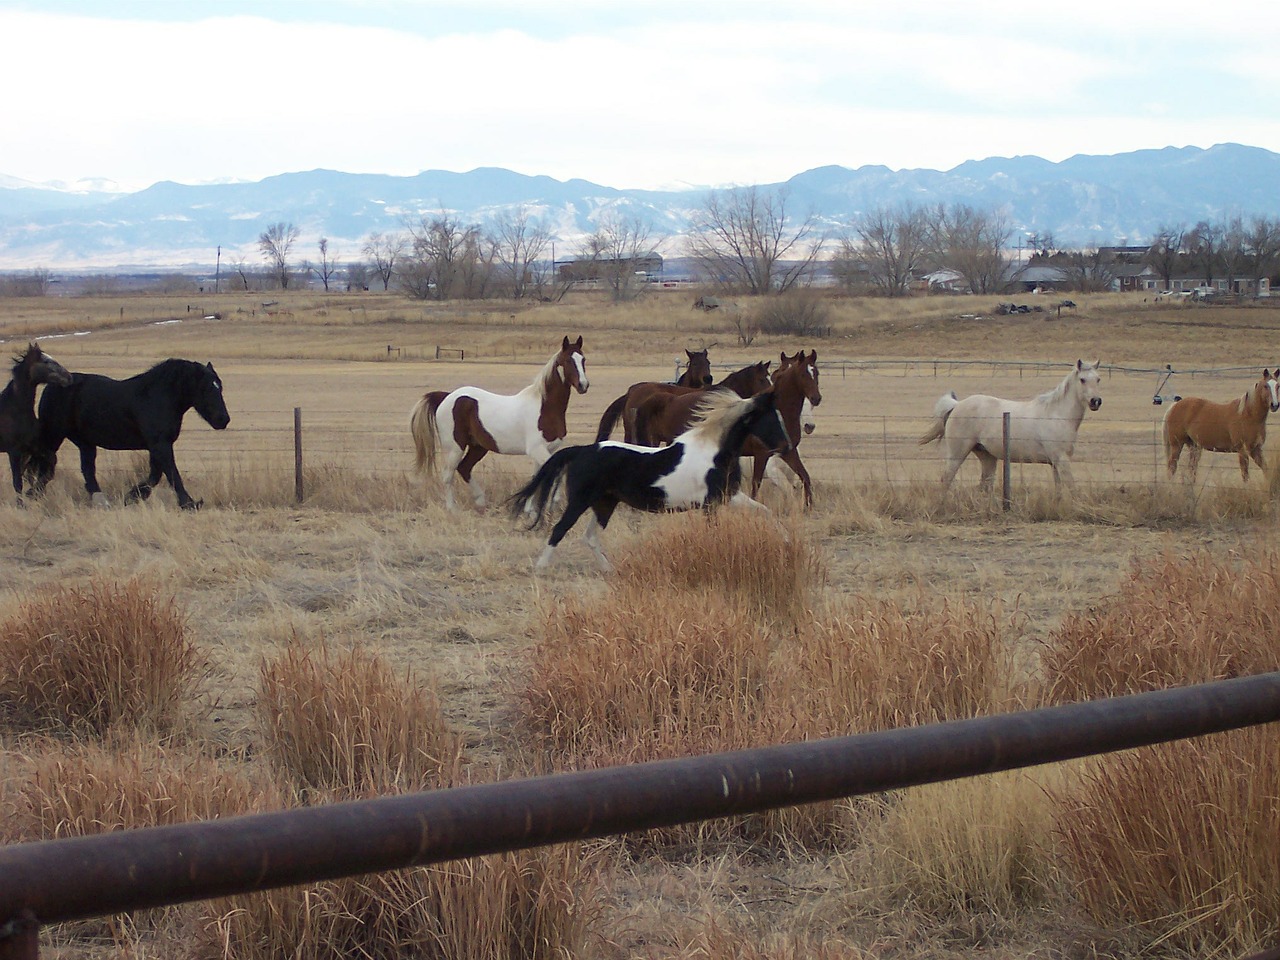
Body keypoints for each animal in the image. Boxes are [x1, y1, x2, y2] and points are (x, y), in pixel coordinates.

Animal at [0, 345, 72, 506]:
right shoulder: (14, 451)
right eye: (46, 361)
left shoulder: (33, 448)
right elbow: (17, 481)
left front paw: (35, 492)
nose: (68, 377)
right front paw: (21, 504)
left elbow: (49, 462)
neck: (16, 410)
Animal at [30, 358, 232, 512]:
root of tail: (51, 387)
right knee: (47, 465)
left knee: (87, 471)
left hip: (85, 442)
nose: (223, 419)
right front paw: (189, 504)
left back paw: (101, 501)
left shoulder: (158, 445)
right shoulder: (160, 444)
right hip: (54, 435)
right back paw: (33, 495)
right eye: (206, 388)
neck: (158, 397)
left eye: (220, 386)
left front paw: (132, 497)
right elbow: (172, 474)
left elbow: (156, 475)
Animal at [409, 335, 588, 512]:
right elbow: (557, 472)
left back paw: (480, 501)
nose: (583, 385)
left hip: (478, 446)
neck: (545, 408)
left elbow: (538, 476)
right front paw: (552, 504)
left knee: (464, 468)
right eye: (568, 360)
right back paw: (452, 509)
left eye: (583, 359)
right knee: (448, 474)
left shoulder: (546, 450)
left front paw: (530, 510)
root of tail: (446, 397)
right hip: (455, 447)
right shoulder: (537, 449)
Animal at [506, 389, 788, 570]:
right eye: (772, 418)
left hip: (605, 503)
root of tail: (581, 450)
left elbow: (766, 512)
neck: (714, 451)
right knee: (560, 529)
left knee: (590, 537)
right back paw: (541, 567)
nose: (786, 446)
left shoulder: (729, 497)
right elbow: (715, 532)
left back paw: (609, 569)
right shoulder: (711, 503)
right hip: (580, 501)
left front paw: (783, 537)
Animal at [916, 360, 1105, 496]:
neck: (1057, 414)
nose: (1096, 401)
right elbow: (1072, 489)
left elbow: (1059, 490)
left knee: (984, 484)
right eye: (1082, 380)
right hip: (958, 453)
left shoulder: (1055, 463)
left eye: (1098, 379)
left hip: (987, 457)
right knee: (946, 479)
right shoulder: (1061, 460)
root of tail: (957, 405)